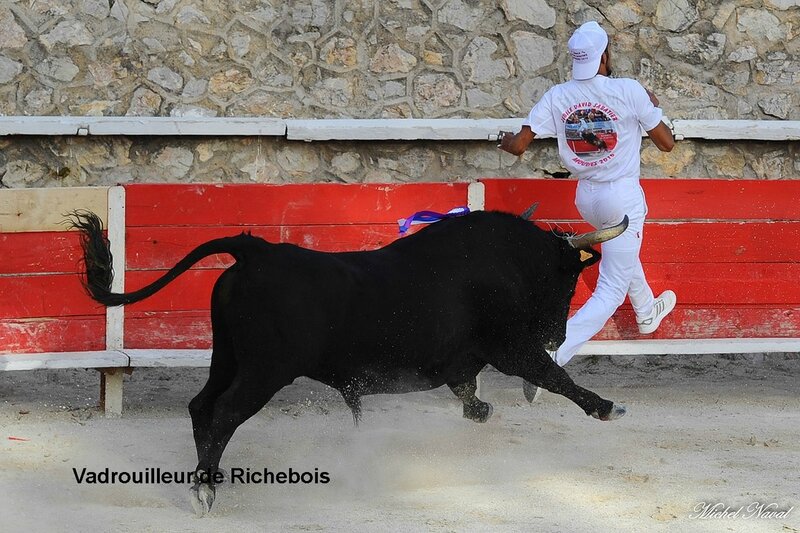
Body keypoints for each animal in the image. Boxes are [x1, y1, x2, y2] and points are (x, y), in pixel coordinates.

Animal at [69, 209, 628, 516]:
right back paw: (205, 492)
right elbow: (552, 375)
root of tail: (258, 252)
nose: (557, 333)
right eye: (567, 278)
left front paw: (483, 411)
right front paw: (606, 407)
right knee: (223, 414)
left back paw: (205, 483)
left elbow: (470, 393)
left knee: (201, 407)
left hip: (226, 357)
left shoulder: (462, 362)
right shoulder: (509, 348)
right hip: (263, 372)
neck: (500, 261)